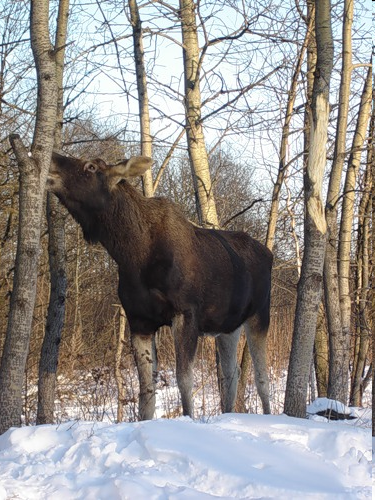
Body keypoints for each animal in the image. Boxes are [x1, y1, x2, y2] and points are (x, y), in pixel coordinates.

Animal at [47, 151, 274, 418]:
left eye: (91, 167)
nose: (51, 156)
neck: (131, 253)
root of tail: (269, 254)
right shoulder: (139, 320)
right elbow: (146, 391)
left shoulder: (185, 313)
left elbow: (184, 379)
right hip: (228, 326)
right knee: (231, 374)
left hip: (260, 315)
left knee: (261, 377)